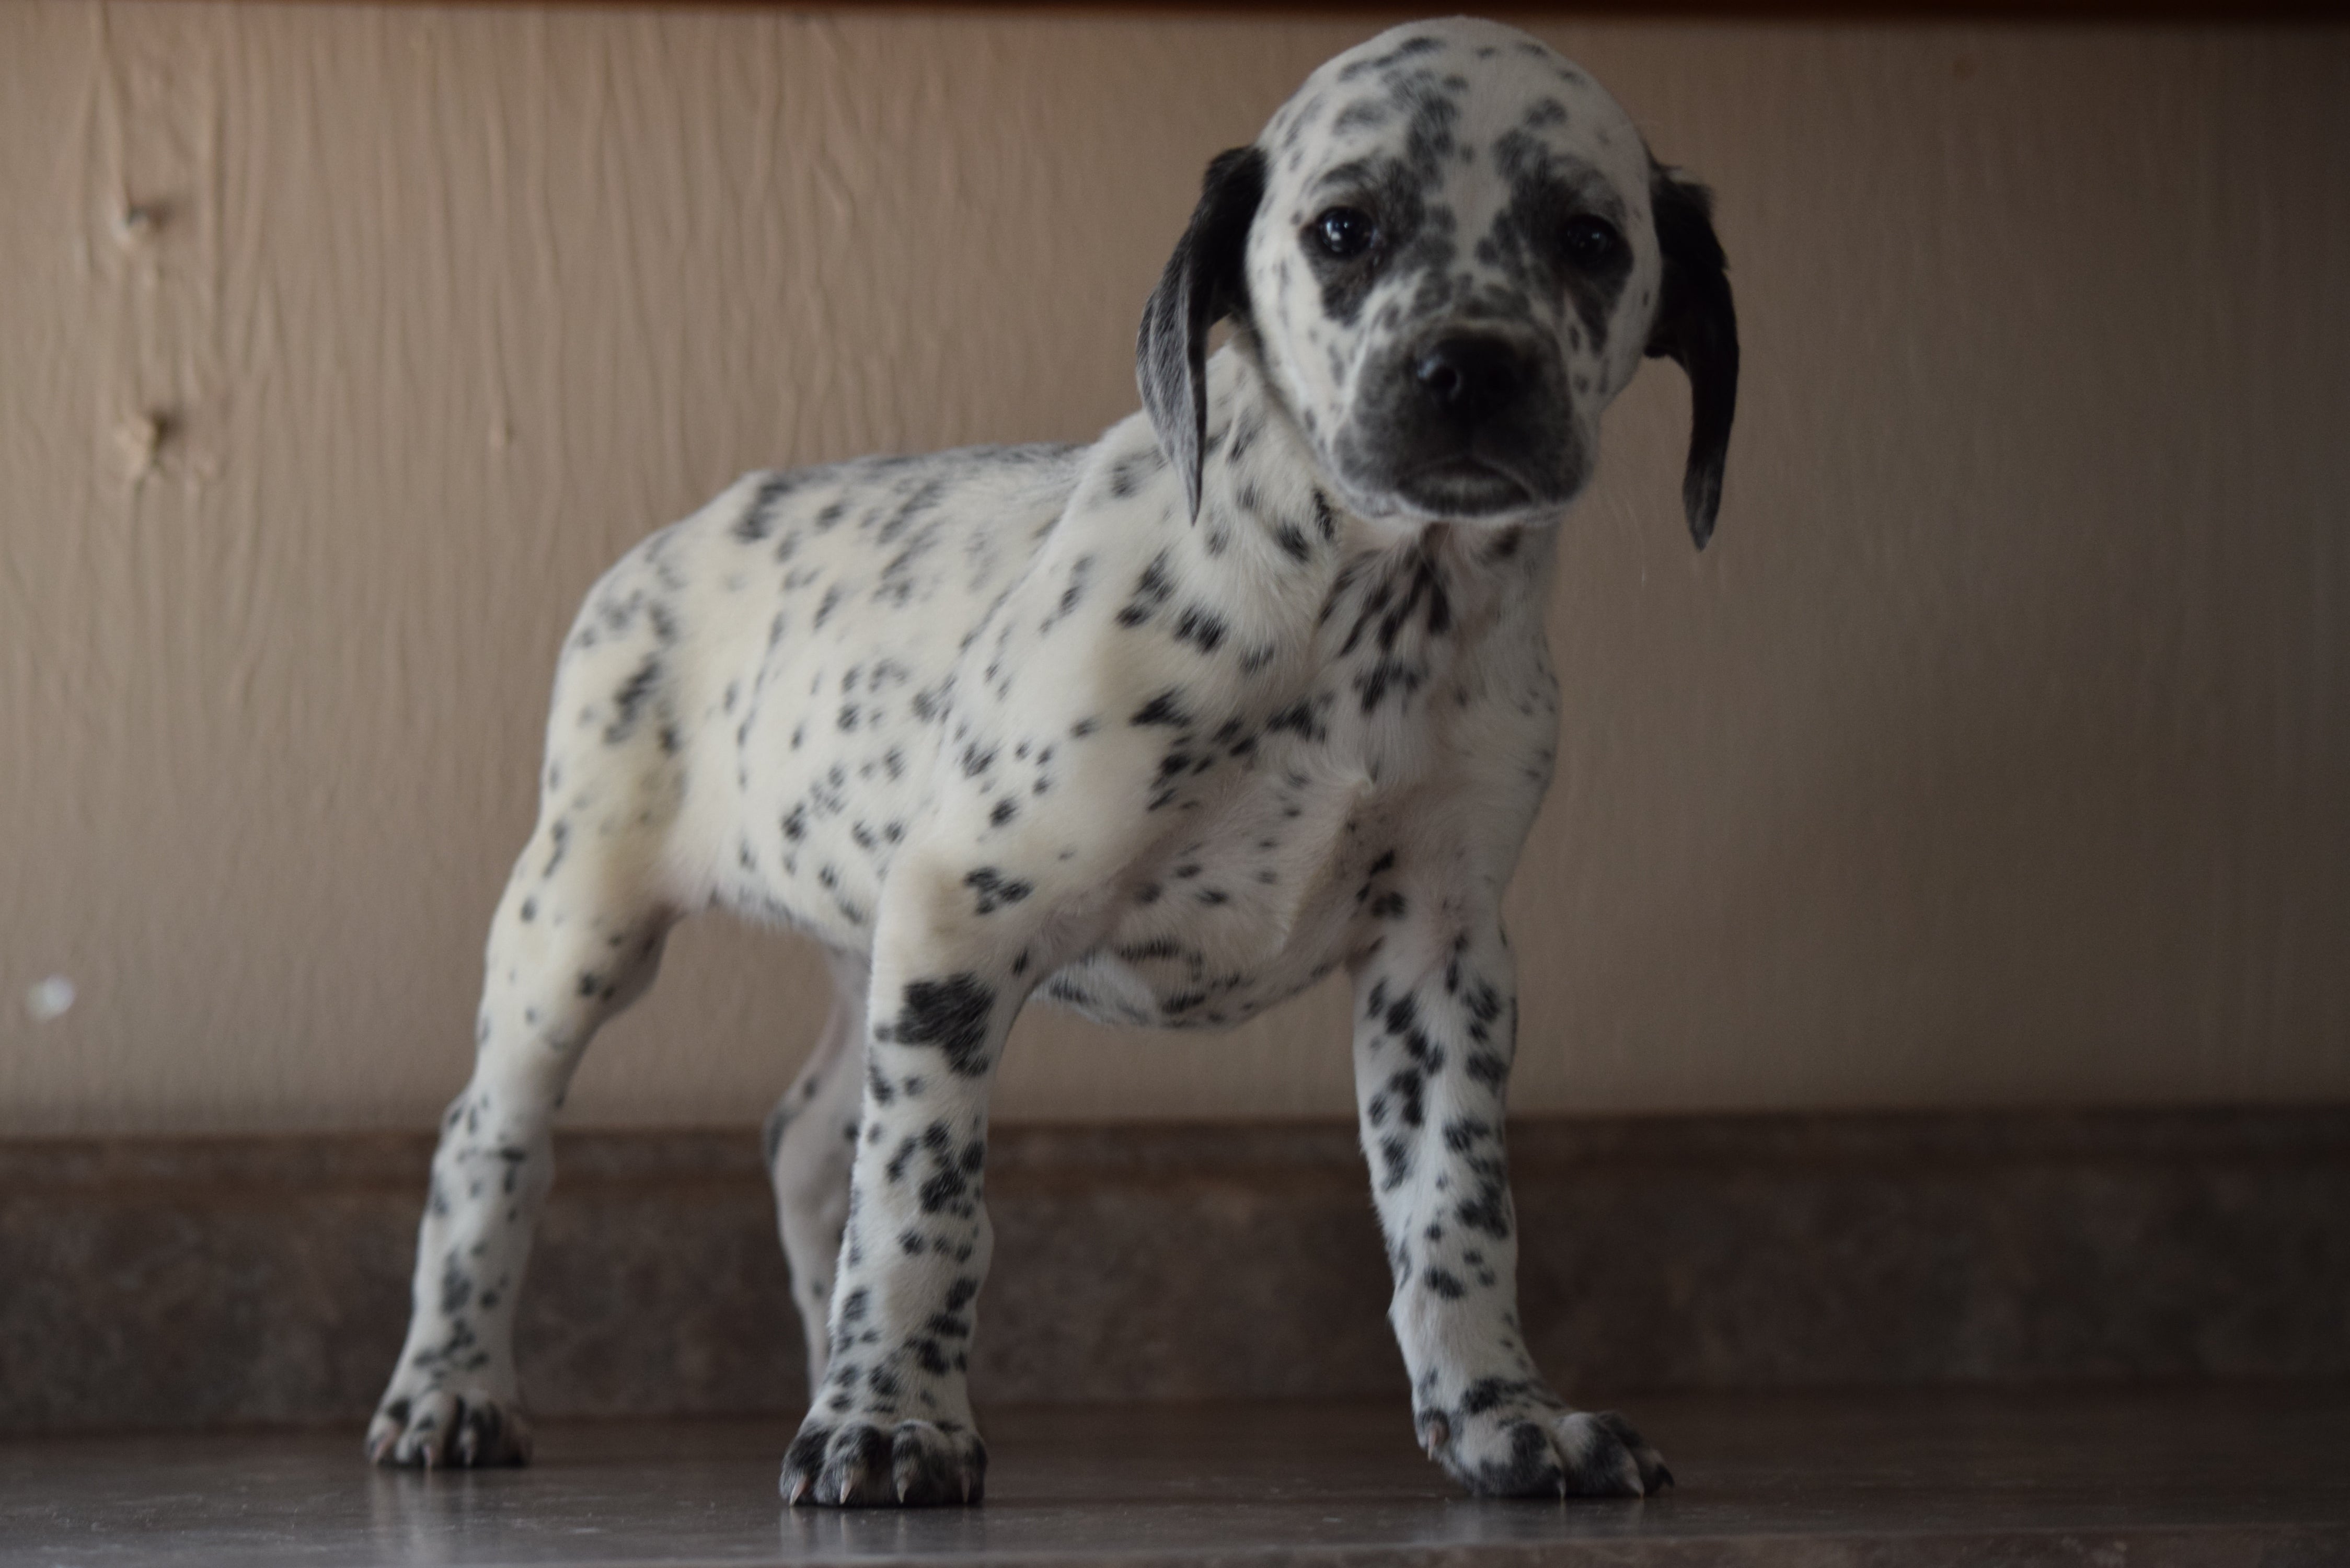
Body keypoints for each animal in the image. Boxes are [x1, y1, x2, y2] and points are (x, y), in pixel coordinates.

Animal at [362, 15, 1730, 1504]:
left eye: (1589, 237)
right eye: (1343, 229)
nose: (1470, 368)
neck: (1368, 613)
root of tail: (677, 536)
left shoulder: (1443, 957)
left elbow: (1456, 1210)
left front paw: (1505, 1416)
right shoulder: (968, 916)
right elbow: (926, 1207)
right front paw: (891, 1422)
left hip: (866, 954)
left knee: (807, 1147)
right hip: (582, 932)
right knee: (490, 1146)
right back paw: (452, 1392)